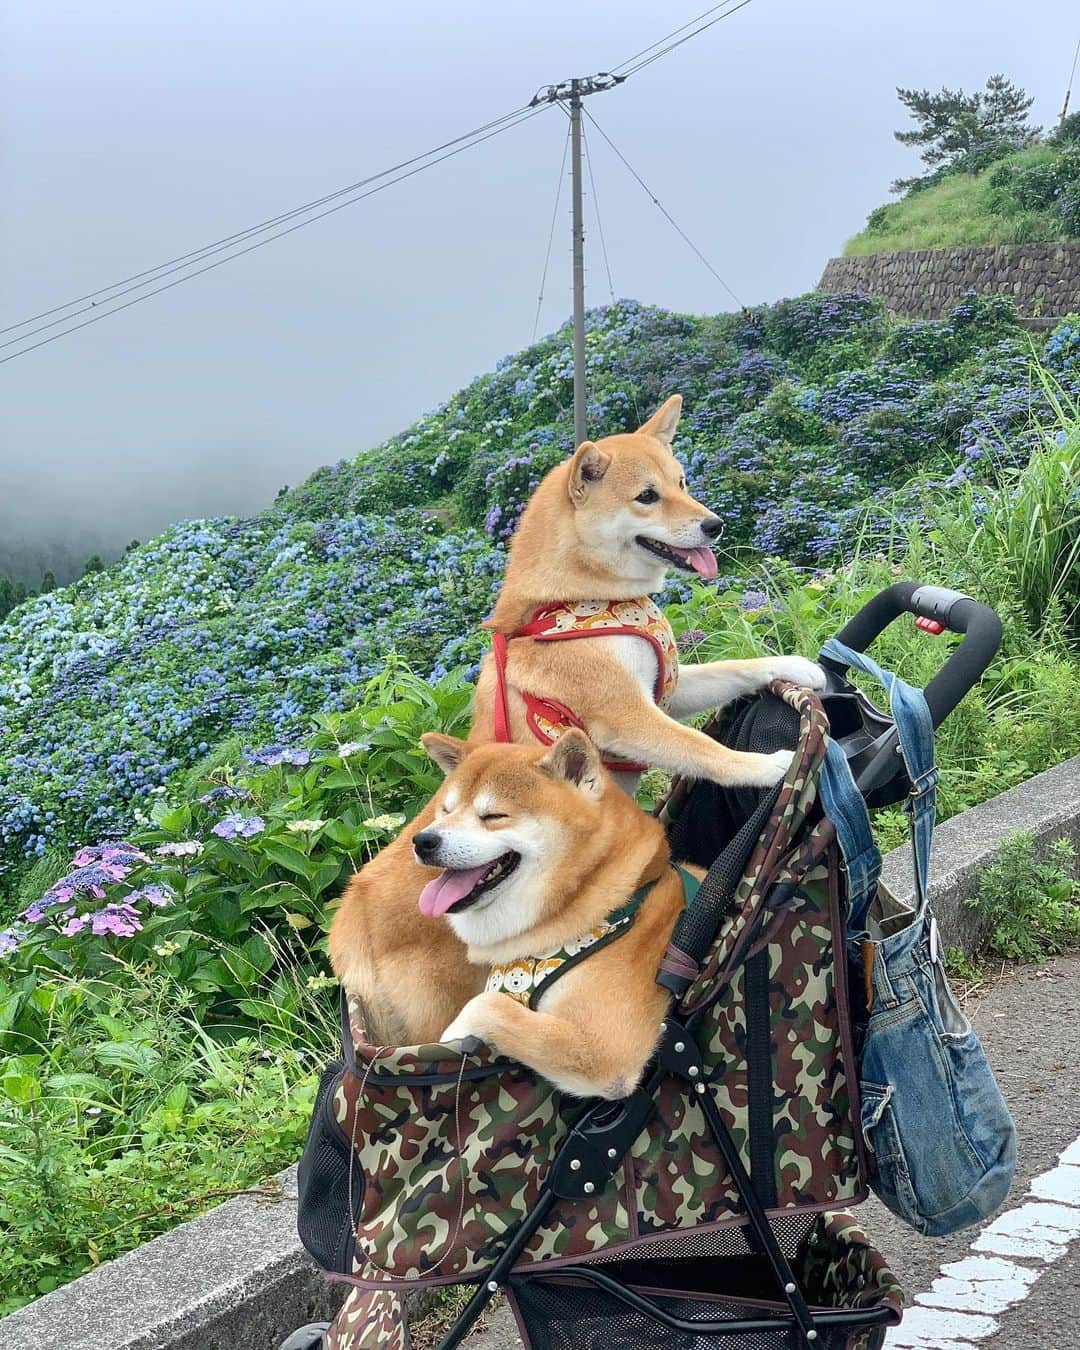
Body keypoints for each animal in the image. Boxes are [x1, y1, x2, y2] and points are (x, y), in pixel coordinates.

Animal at [415, 729, 707, 1096]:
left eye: (494, 816)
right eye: (446, 810)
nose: (422, 841)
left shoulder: (606, 1051)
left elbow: (489, 1005)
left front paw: (451, 1036)